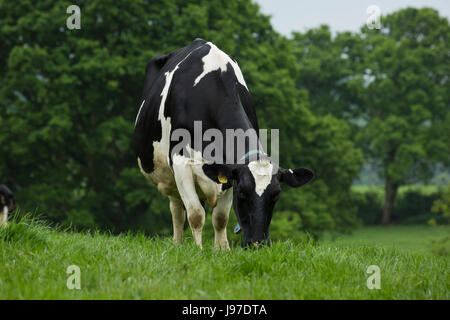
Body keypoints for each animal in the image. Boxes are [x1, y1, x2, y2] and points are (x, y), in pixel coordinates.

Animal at [134, 38, 312, 249]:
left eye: (276, 195)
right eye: (242, 193)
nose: (257, 243)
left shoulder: (228, 170)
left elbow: (220, 217)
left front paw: (221, 250)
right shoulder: (180, 162)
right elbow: (195, 215)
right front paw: (198, 250)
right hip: (170, 177)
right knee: (177, 210)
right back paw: (178, 244)